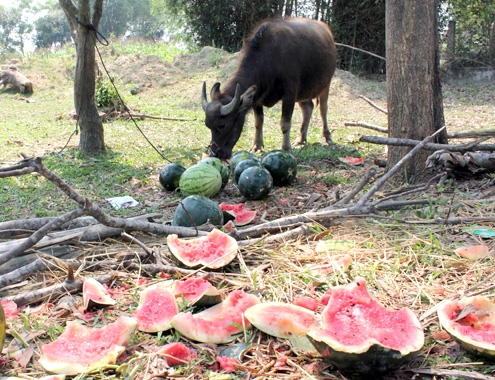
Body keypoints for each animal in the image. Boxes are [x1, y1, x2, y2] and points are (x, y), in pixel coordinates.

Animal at [202, 17, 338, 160]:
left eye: (222, 125)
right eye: (207, 125)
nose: (215, 153)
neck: (270, 58)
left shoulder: (290, 94)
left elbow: (285, 124)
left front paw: (286, 148)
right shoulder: (257, 97)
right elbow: (258, 122)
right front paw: (256, 145)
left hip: (325, 84)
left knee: (323, 109)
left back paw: (327, 137)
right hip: (304, 91)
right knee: (308, 107)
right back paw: (301, 139)